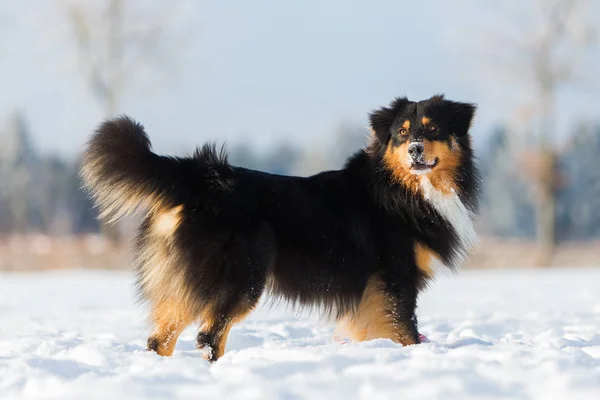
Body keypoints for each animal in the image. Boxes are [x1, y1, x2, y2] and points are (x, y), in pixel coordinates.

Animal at [82, 94, 480, 362]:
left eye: (432, 129)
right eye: (401, 133)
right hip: (240, 277)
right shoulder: (396, 278)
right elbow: (405, 329)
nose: (415, 149)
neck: (402, 189)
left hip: (191, 281)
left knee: (161, 339)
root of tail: (202, 176)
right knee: (209, 335)